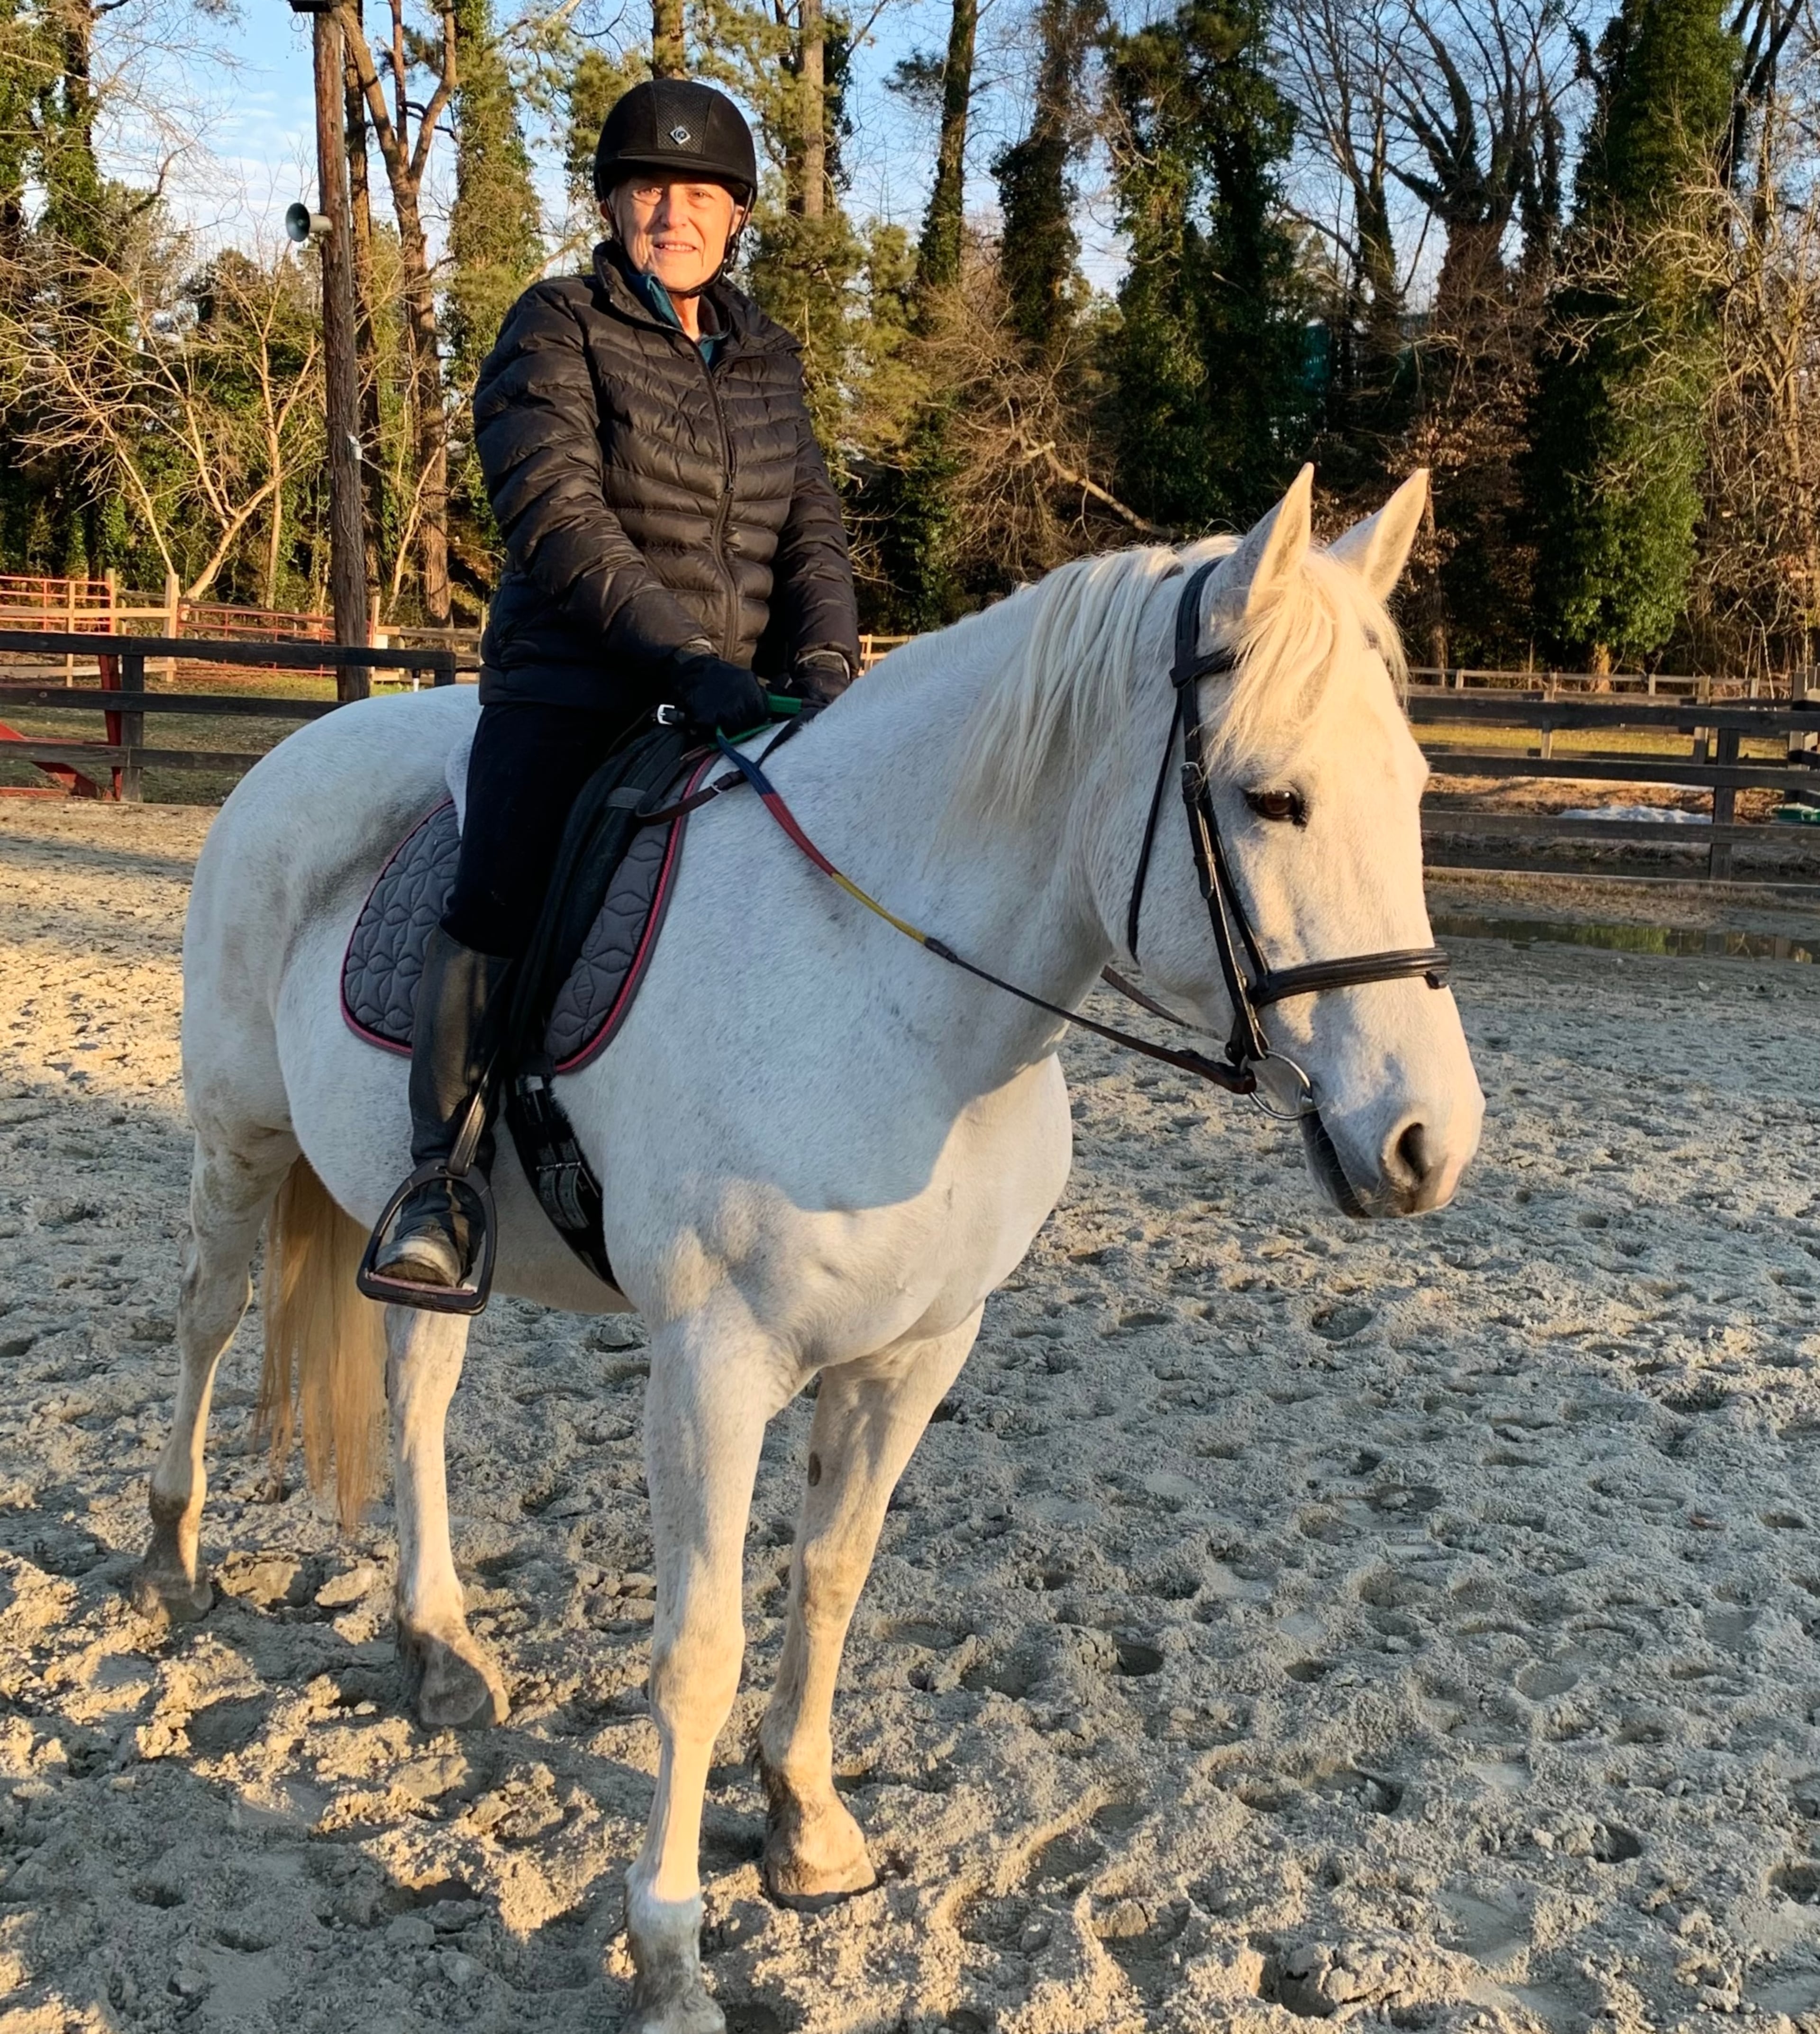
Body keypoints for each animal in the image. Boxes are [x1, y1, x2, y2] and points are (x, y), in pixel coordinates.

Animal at [132, 465, 1482, 2034]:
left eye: (1413, 789)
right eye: (1272, 797)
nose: (1426, 1142)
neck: (889, 989)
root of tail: (301, 745)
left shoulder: (916, 1350)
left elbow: (830, 1579)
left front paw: (806, 1825)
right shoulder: (712, 1366)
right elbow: (699, 1646)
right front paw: (667, 1951)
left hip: (434, 1233)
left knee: (414, 1397)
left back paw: (438, 1642)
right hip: (236, 1139)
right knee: (204, 1319)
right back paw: (170, 1553)